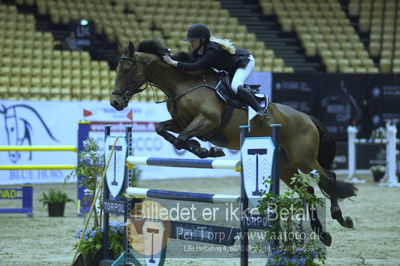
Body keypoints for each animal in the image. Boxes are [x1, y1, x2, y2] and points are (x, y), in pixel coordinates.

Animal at [111, 40, 358, 247]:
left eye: (126, 70)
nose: (115, 102)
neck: (183, 84)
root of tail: (307, 118)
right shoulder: (181, 123)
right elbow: (163, 130)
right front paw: (204, 149)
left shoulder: (207, 121)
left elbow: (182, 139)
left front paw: (207, 150)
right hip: (285, 166)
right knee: (308, 190)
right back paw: (322, 234)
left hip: (303, 158)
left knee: (328, 178)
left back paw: (340, 217)